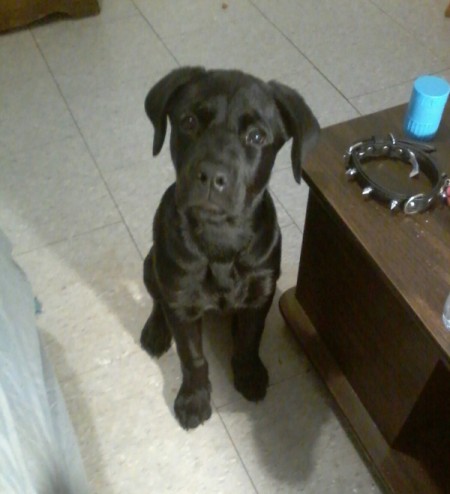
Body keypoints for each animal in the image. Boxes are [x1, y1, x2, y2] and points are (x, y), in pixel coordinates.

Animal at [142, 67, 320, 430]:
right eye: (189, 121)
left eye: (256, 136)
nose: (212, 175)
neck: (220, 237)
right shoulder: (181, 300)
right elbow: (192, 356)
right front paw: (194, 398)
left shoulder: (261, 290)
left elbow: (250, 339)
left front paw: (249, 373)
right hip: (150, 264)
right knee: (156, 298)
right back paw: (155, 330)